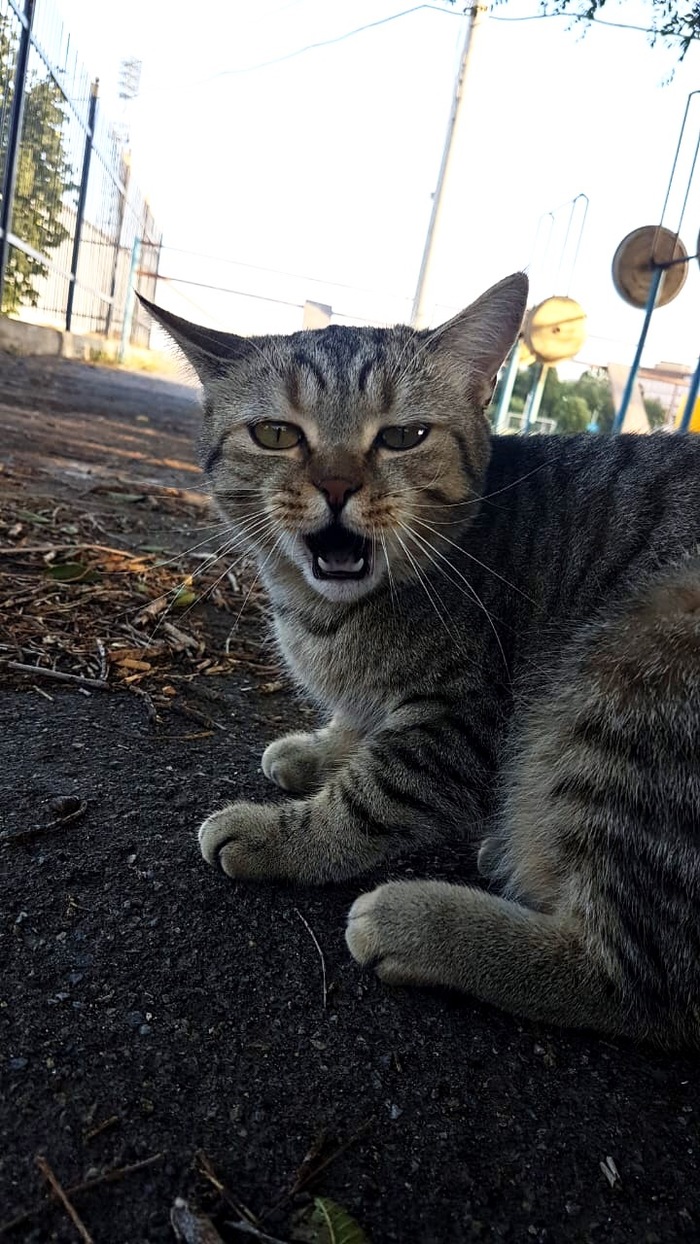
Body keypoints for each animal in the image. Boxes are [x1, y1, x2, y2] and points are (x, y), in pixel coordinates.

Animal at [139, 277, 700, 1044]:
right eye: (277, 434)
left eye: (403, 437)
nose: (337, 487)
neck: (330, 621)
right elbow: (356, 729)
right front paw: (319, 751)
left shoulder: (459, 720)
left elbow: (372, 796)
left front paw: (282, 835)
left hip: (641, 661)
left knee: (641, 982)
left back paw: (421, 922)